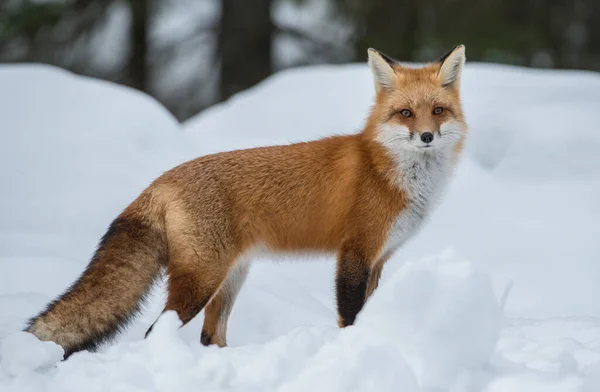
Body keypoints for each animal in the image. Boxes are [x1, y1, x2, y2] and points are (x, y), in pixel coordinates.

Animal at [27, 44, 468, 356]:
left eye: (438, 111)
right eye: (406, 113)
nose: (426, 136)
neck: (389, 173)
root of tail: (161, 179)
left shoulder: (379, 260)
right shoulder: (354, 254)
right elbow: (351, 316)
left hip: (230, 278)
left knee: (210, 336)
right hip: (201, 280)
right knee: (157, 332)